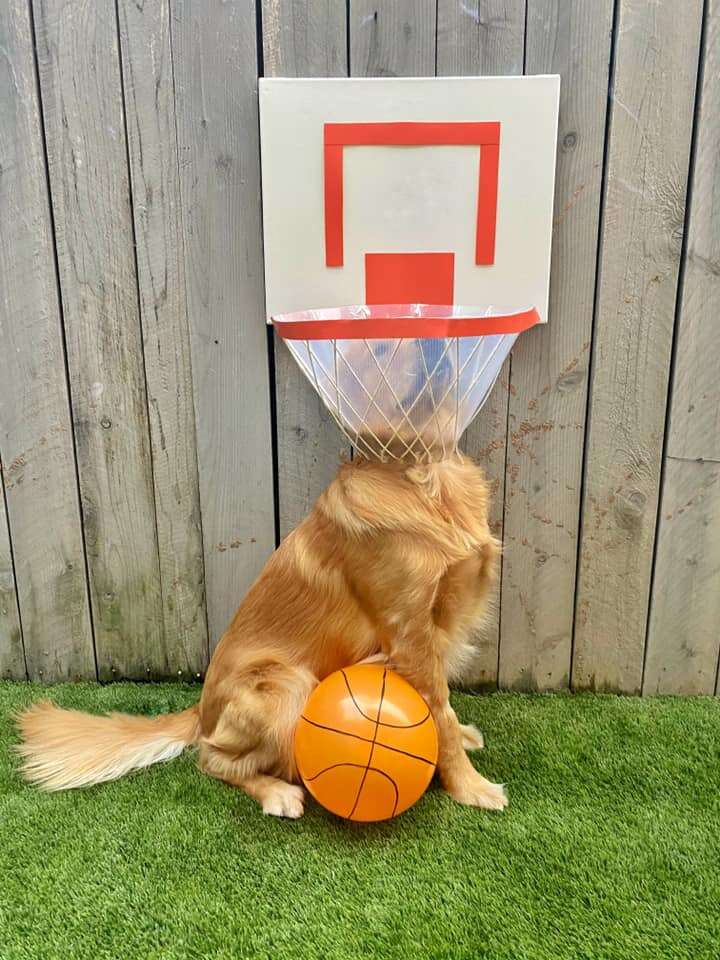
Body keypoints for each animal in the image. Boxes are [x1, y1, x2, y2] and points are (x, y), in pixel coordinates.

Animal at [19, 456, 510, 816]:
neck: (421, 481)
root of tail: (201, 709)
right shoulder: (409, 633)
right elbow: (439, 714)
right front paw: (472, 787)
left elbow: (445, 710)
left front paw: (463, 742)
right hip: (287, 685)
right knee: (210, 758)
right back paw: (277, 793)